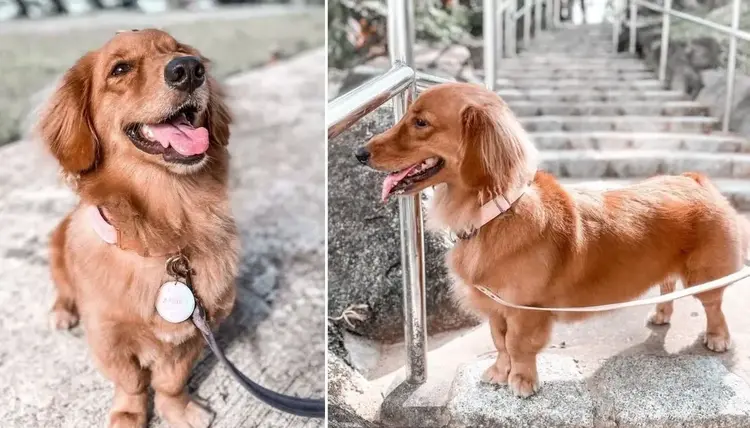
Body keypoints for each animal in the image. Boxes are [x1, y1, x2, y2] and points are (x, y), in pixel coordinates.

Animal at [39, 28, 238, 426]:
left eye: (179, 50)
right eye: (120, 69)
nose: (188, 70)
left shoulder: (193, 333)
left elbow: (170, 381)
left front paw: (177, 410)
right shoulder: (107, 339)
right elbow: (130, 382)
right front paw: (130, 414)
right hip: (56, 247)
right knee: (63, 290)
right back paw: (62, 312)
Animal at [356, 83, 748, 398]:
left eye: (421, 123)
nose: (358, 154)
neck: (495, 212)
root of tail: (695, 179)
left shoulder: (527, 309)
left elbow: (517, 345)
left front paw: (522, 382)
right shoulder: (497, 307)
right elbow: (499, 341)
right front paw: (499, 372)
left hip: (704, 275)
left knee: (713, 305)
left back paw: (717, 336)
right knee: (667, 284)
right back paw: (661, 314)